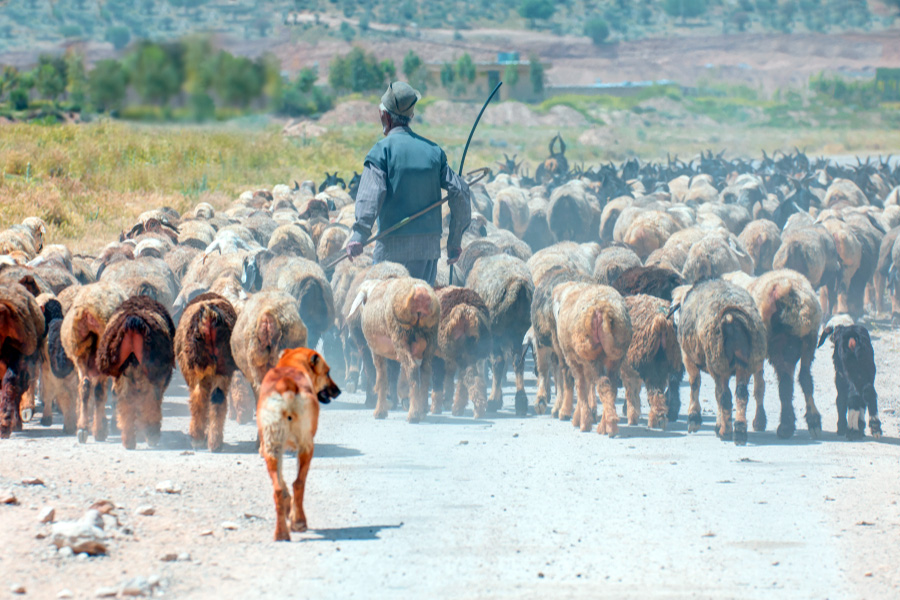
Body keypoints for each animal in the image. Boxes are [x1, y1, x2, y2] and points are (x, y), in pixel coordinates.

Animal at [256, 344, 342, 540]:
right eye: (327, 372)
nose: (338, 390)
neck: (291, 364)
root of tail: (286, 383)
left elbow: (282, 484)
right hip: (306, 447)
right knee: (299, 484)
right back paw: (299, 522)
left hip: (271, 446)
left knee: (278, 489)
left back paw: (281, 532)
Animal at [676, 278, 768, 442]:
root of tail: (731, 316)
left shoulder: (687, 358)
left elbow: (695, 384)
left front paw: (694, 418)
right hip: (746, 362)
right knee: (743, 393)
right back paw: (741, 429)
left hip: (719, 362)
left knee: (724, 396)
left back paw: (726, 432)